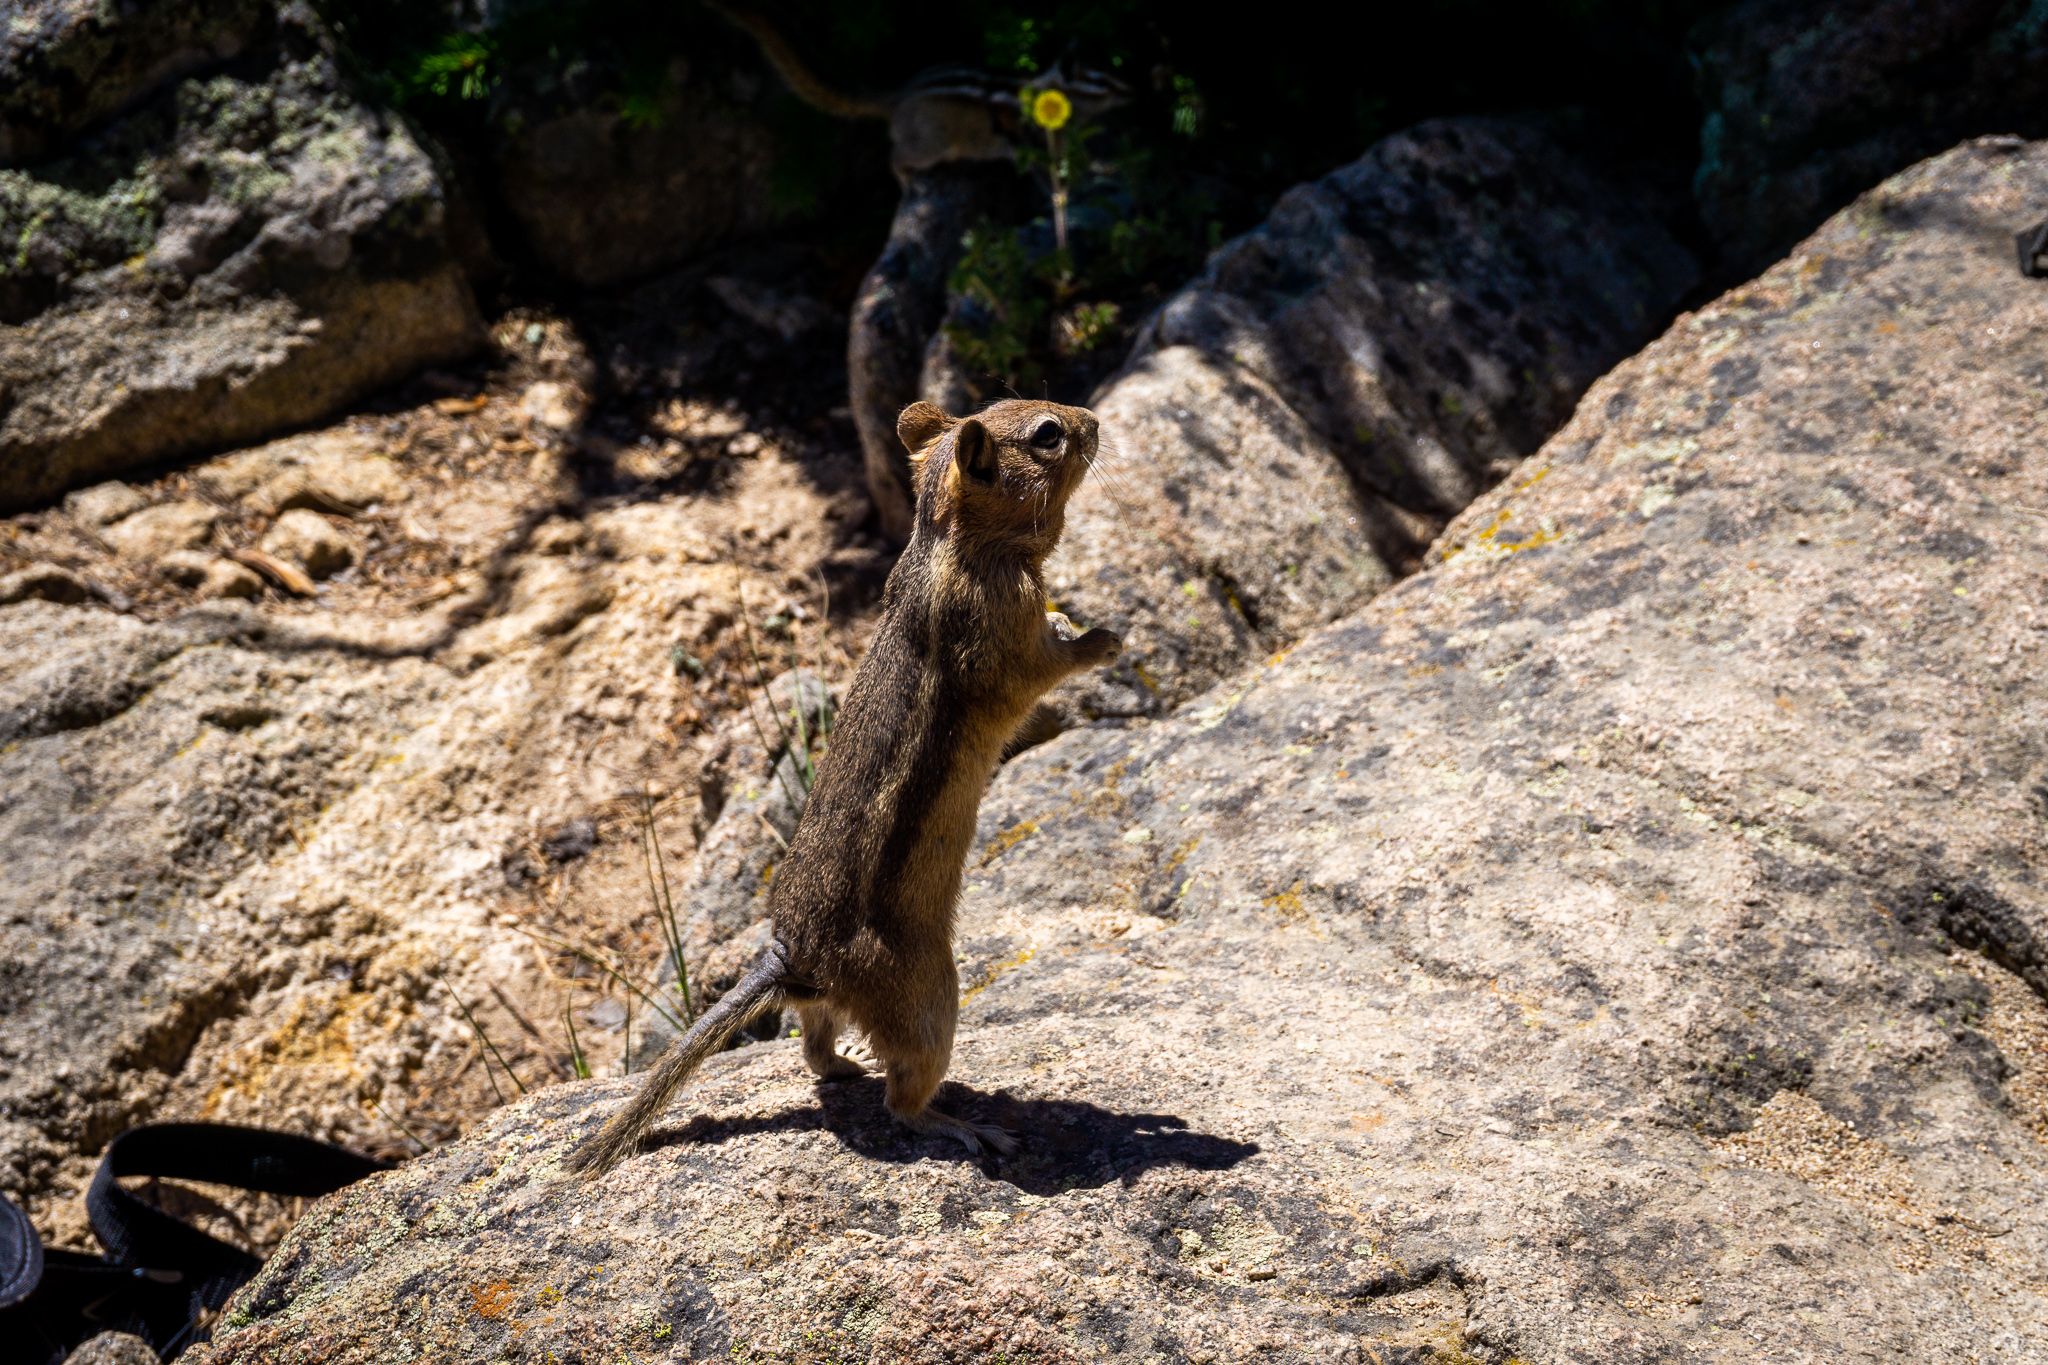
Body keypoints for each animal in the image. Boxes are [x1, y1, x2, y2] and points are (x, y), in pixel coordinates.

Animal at [565, 399, 1122, 1175]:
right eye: (1049, 434)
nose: (1093, 418)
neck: (952, 544)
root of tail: (789, 954)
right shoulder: (1008, 638)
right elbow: (1050, 663)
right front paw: (1102, 638)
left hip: (832, 1002)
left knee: (814, 1042)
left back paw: (846, 1064)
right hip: (930, 998)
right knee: (901, 1099)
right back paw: (967, 1126)